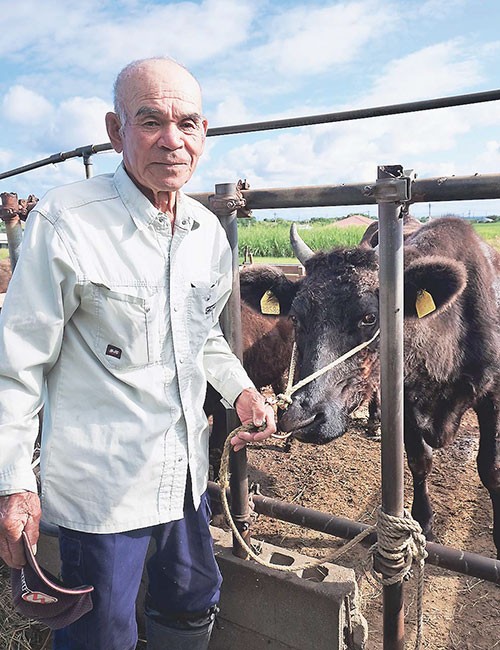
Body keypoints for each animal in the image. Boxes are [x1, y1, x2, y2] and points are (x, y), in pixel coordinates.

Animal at [254, 218, 500, 556]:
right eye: (295, 317)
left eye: (370, 317)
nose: (304, 418)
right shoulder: (405, 398)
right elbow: (420, 461)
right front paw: (424, 520)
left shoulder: (493, 396)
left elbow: (490, 468)